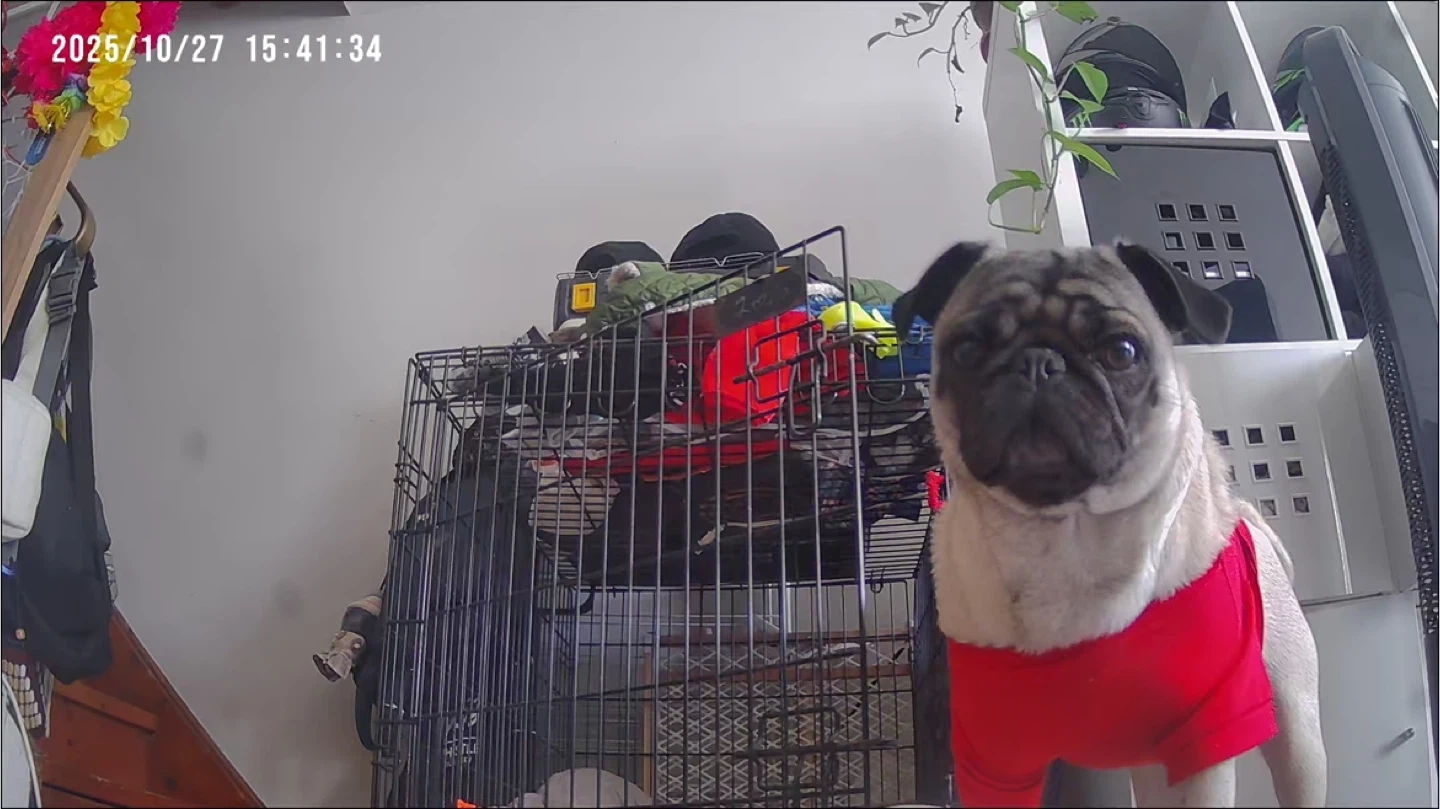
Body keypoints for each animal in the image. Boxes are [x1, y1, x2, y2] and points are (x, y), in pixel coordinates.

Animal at [892, 242, 1325, 807]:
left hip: (1297, 735)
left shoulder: (1200, 751)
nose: (1038, 362)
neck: (1062, 540)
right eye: (966, 350)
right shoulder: (995, 764)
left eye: (1121, 352)